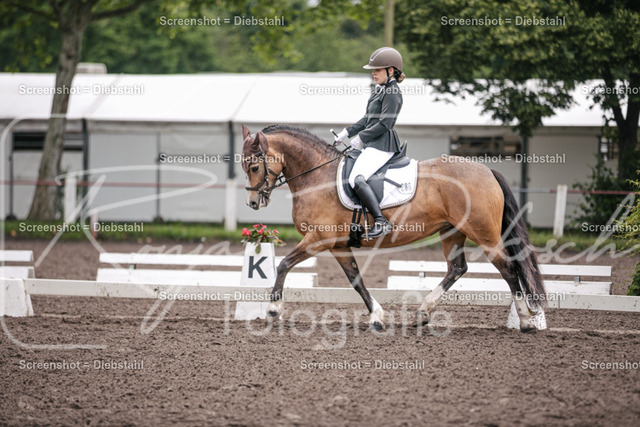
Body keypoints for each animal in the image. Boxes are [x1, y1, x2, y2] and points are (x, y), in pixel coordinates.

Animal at [241, 124, 546, 332]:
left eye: (254, 167)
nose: (253, 202)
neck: (317, 176)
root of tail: (487, 171)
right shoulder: (338, 246)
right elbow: (356, 280)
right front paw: (377, 317)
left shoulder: (319, 239)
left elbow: (284, 264)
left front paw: (272, 309)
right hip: (452, 232)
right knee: (457, 268)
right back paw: (422, 313)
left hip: (484, 235)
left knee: (508, 269)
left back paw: (526, 320)